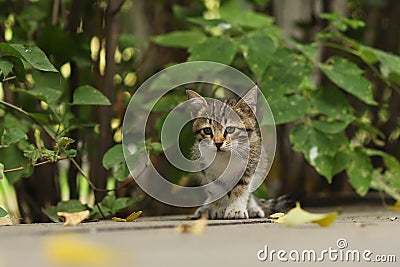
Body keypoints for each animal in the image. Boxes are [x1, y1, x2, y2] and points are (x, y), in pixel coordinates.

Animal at [186, 88, 292, 220]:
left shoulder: (250, 165)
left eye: (230, 129)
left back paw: (252, 207)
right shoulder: (208, 172)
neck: (226, 157)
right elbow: (216, 189)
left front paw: (235, 209)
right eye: (207, 130)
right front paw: (220, 208)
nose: (218, 143)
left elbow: (242, 188)